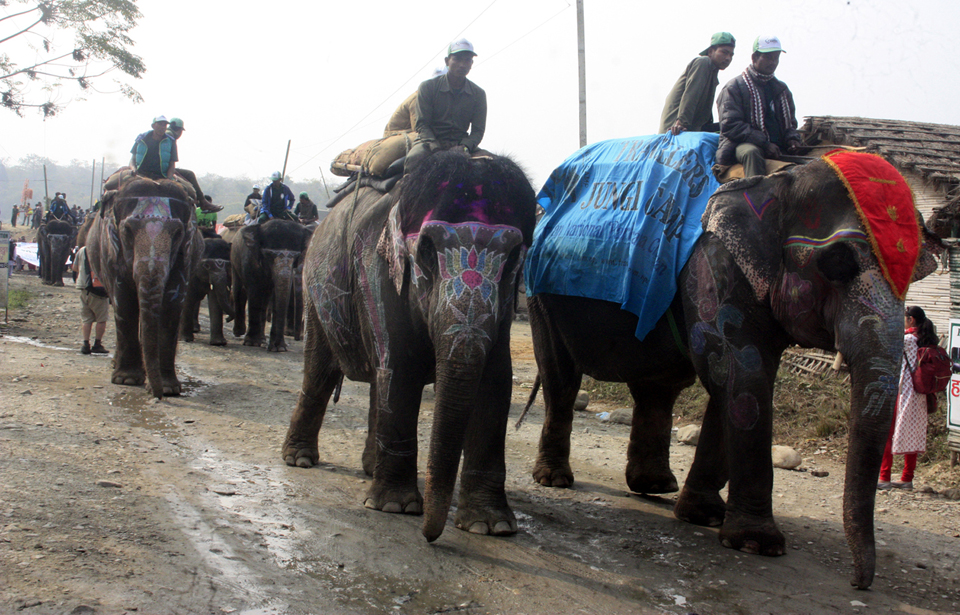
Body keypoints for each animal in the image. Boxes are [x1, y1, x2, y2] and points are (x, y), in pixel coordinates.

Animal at [88, 173, 204, 400]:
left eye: (178, 233)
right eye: (127, 230)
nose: (157, 396)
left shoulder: (185, 252)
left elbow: (172, 304)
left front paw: (168, 388)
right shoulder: (111, 250)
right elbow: (123, 301)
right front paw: (127, 380)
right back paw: (120, 366)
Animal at [230, 219, 312, 354]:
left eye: (296, 256)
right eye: (268, 255)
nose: (297, 339)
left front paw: (279, 348)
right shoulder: (250, 260)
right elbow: (254, 291)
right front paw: (252, 343)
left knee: (265, 299)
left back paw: (262, 339)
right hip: (234, 259)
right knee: (239, 290)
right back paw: (239, 332)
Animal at [284, 152, 540, 540]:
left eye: (513, 260)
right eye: (426, 252)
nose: (429, 536)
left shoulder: (504, 307)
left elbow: (496, 380)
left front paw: (490, 525)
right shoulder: (375, 271)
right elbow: (400, 367)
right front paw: (396, 507)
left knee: (375, 379)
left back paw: (369, 468)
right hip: (315, 291)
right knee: (320, 371)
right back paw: (298, 459)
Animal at [524, 150, 936, 592]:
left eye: (915, 273)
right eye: (838, 263)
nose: (859, 583)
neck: (781, 178)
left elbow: (736, 383)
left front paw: (703, 516)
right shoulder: (713, 264)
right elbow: (743, 378)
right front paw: (757, 544)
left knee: (658, 388)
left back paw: (656, 486)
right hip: (539, 297)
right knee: (561, 378)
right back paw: (554, 480)